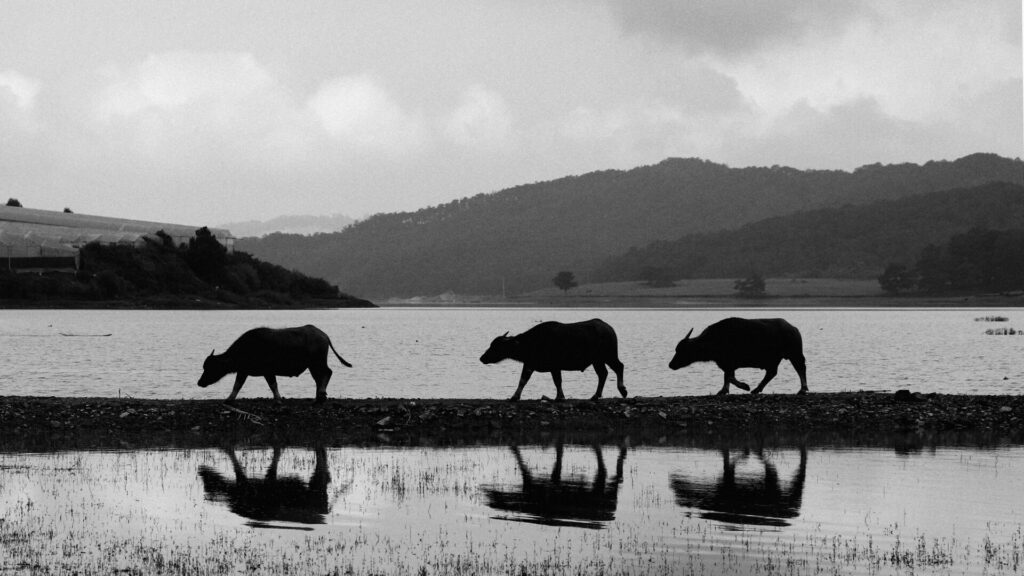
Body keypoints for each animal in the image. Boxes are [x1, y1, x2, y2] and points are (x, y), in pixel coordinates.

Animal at [198, 324, 352, 404]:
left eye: (210, 367)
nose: (200, 382)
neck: (248, 348)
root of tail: (323, 335)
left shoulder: (268, 371)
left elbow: (273, 385)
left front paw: (278, 399)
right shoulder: (243, 371)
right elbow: (237, 385)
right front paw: (229, 399)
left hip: (317, 362)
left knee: (327, 372)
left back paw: (321, 394)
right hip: (312, 365)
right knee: (319, 378)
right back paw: (318, 397)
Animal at [480, 318, 626, 401]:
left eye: (496, 346)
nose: (482, 358)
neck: (532, 342)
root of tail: (609, 329)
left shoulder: (555, 367)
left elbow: (557, 381)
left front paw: (560, 397)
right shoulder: (530, 364)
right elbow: (523, 380)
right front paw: (514, 397)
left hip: (609, 355)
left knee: (619, 367)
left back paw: (622, 390)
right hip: (598, 361)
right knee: (603, 374)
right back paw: (596, 395)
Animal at [669, 317, 807, 395]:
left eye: (683, 350)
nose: (670, 365)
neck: (714, 338)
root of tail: (793, 329)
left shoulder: (729, 364)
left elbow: (729, 377)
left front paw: (745, 386)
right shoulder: (726, 364)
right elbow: (727, 377)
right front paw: (723, 391)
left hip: (795, 355)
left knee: (800, 369)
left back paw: (802, 389)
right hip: (776, 360)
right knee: (771, 373)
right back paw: (757, 389)